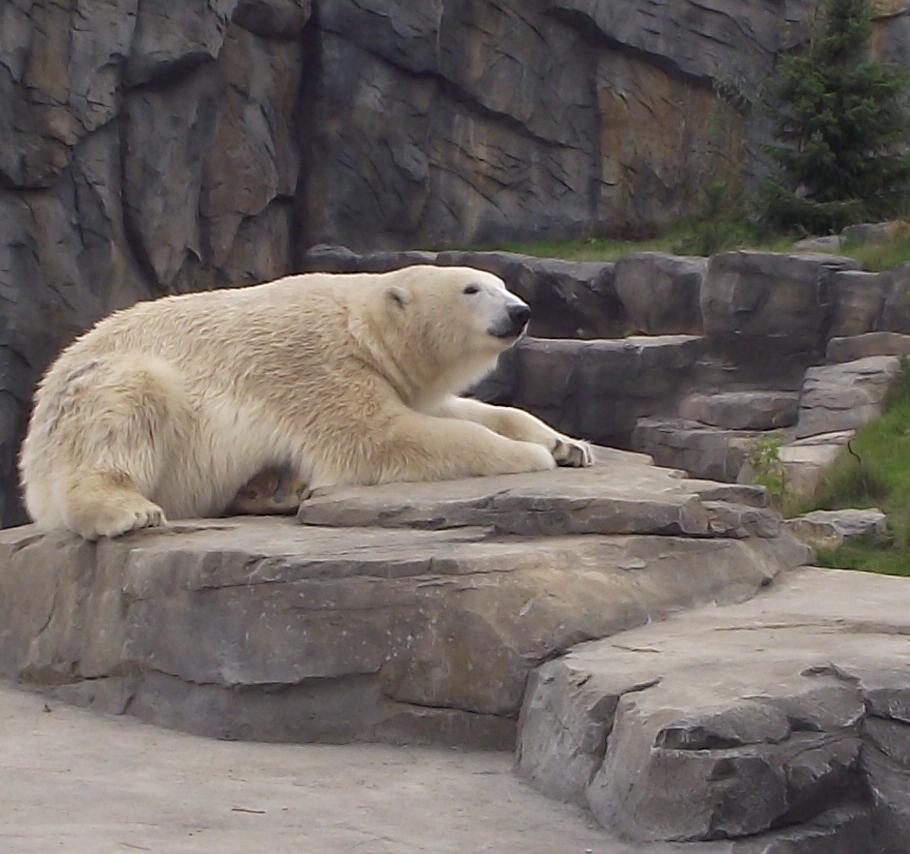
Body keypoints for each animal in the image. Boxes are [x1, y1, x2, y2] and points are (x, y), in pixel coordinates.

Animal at [21, 264, 596, 540]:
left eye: (501, 284)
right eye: (472, 290)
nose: (520, 312)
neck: (363, 325)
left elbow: (450, 408)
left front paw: (568, 445)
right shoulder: (317, 363)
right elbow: (382, 436)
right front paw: (527, 456)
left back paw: (275, 488)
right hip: (93, 394)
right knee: (129, 404)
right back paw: (129, 511)